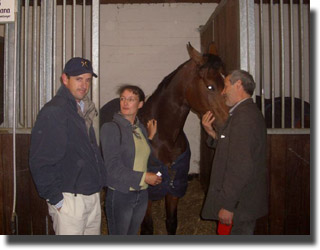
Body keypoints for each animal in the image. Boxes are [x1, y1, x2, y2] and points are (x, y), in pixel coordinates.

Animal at [100, 43, 228, 234]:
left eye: (226, 83)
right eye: (210, 86)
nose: (227, 121)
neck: (164, 138)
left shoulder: (174, 187)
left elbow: (171, 222)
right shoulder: (147, 193)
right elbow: (147, 227)